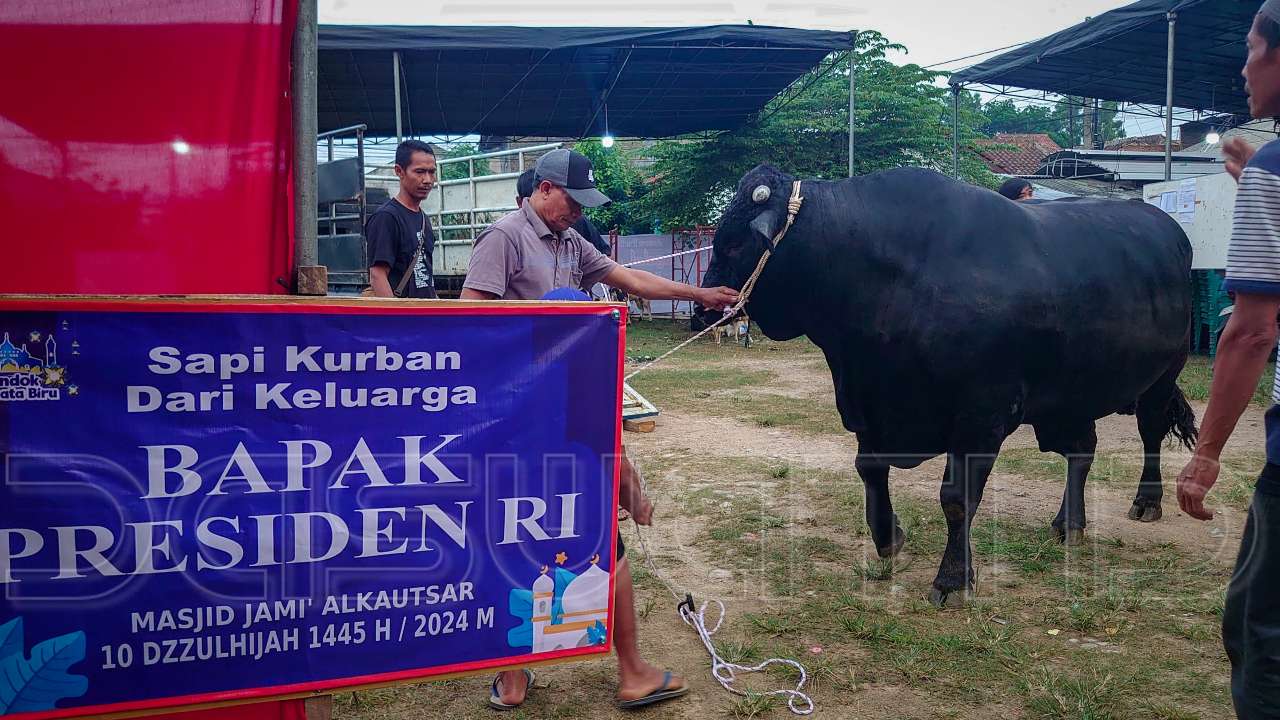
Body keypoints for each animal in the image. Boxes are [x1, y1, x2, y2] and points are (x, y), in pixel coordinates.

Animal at [701, 163, 1198, 604]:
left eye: (732, 243)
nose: (705, 307)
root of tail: (1162, 222)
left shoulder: (980, 416)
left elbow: (956, 499)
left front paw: (953, 579)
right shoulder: (871, 404)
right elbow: (869, 469)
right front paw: (889, 538)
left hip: (1162, 376)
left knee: (1149, 434)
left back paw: (1146, 501)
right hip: (1070, 396)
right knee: (1082, 451)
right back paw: (1068, 524)